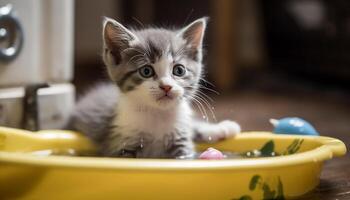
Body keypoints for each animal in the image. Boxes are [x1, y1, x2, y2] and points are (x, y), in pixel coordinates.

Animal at [65, 16, 241, 158]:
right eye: (146, 71)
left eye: (179, 70)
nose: (166, 87)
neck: (157, 115)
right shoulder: (120, 143)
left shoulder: (181, 144)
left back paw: (224, 128)